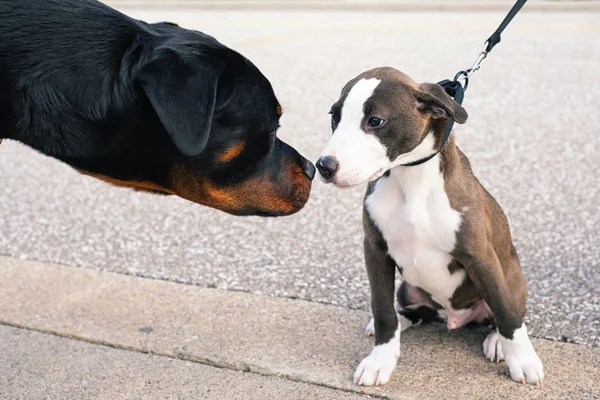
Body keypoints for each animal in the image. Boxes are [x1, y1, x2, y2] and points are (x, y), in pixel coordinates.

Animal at [318, 67, 544, 386]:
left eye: (375, 121)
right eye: (334, 117)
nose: (324, 166)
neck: (410, 178)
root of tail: (454, 318)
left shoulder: (480, 255)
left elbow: (505, 311)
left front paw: (522, 360)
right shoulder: (375, 249)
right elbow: (382, 308)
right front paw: (380, 359)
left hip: (512, 278)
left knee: (504, 310)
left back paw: (497, 340)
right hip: (407, 289)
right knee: (416, 311)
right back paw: (403, 320)